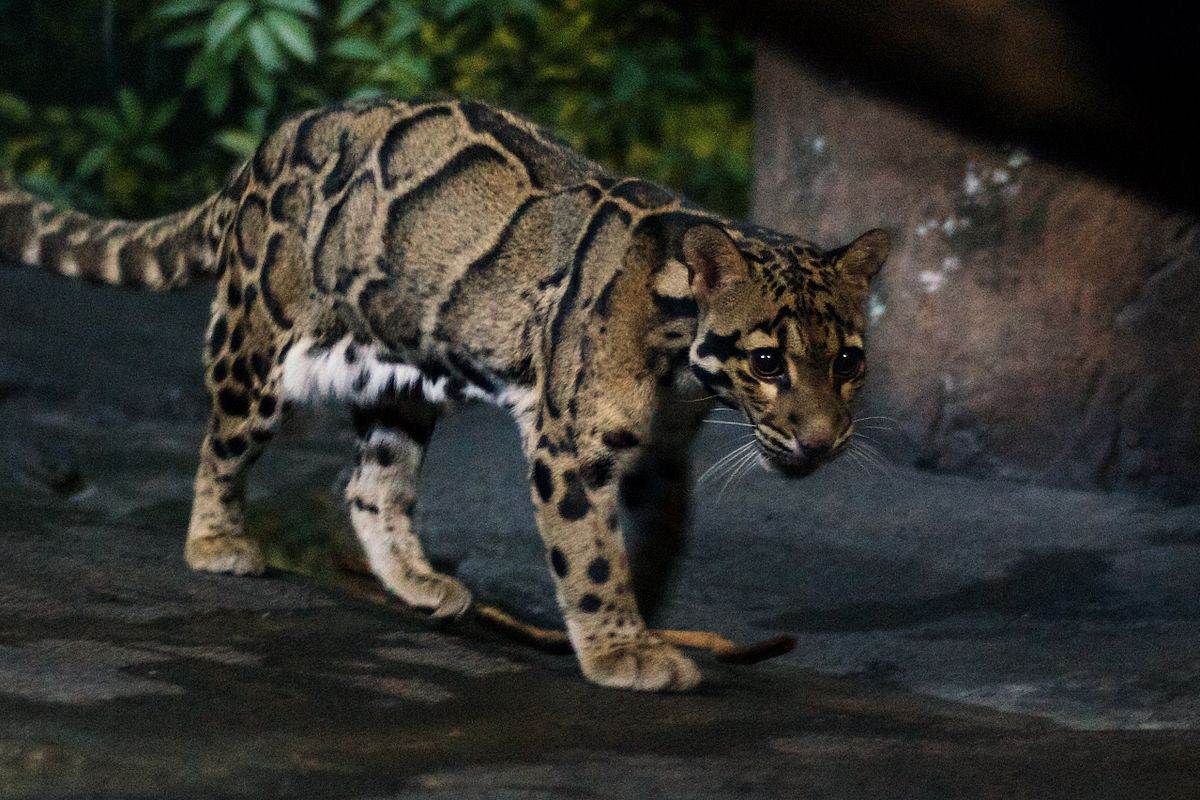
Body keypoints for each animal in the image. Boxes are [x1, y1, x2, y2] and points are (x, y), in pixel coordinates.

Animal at [0, 98, 888, 692]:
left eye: (848, 361)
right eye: (768, 361)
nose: (820, 441)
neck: (679, 362)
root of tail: (269, 145)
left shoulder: (660, 455)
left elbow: (653, 542)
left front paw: (640, 619)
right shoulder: (572, 446)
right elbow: (589, 551)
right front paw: (617, 646)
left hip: (395, 377)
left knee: (369, 484)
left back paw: (416, 580)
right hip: (259, 340)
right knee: (222, 443)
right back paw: (217, 541)